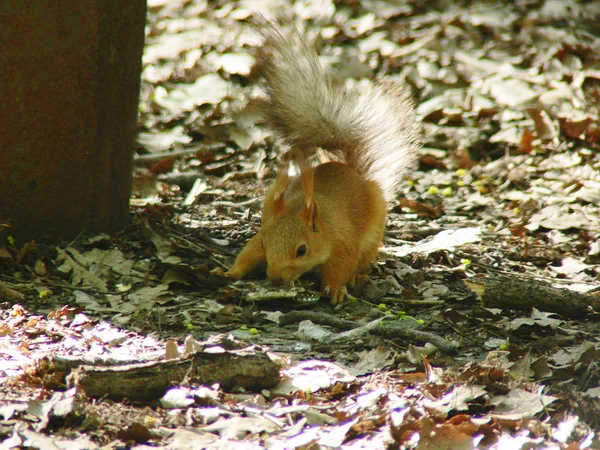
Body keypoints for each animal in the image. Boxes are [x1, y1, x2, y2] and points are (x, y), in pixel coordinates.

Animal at [214, 26, 418, 304]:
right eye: (266, 245)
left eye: (302, 250)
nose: (275, 277)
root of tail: (351, 171)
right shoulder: (263, 232)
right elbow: (248, 252)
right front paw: (229, 272)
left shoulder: (343, 243)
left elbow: (342, 266)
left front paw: (336, 288)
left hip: (374, 230)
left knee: (365, 258)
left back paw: (358, 275)